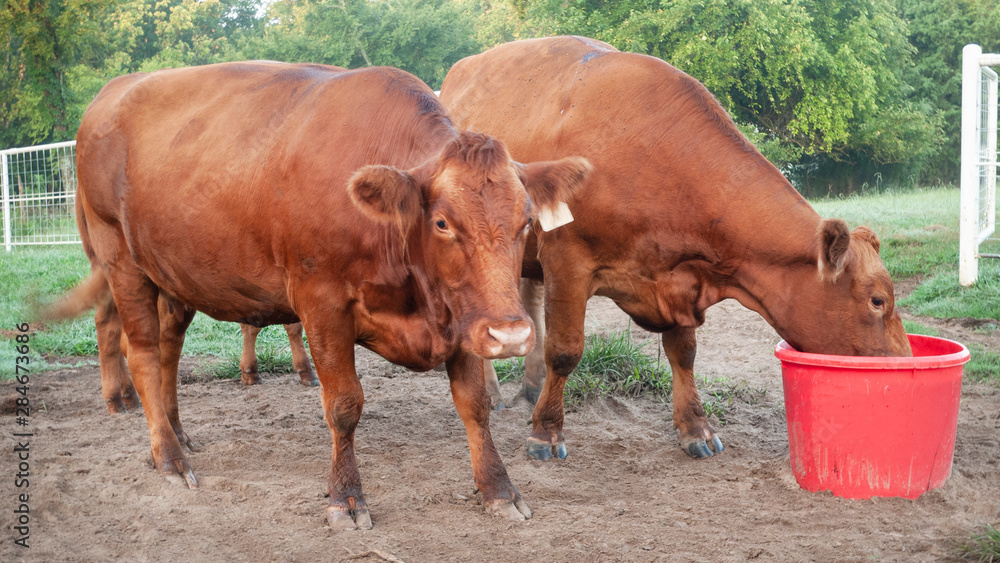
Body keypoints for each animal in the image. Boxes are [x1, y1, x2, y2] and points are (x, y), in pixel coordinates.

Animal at [57, 60, 591, 529]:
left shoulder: (460, 315)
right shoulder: (322, 304)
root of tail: (113, 92)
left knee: (169, 349)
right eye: (442, 223)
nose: (511, 334)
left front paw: (499, 489)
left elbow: (474, 405)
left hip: (172, 275)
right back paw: (168, 457)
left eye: (527, 221)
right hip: (120, 261)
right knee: (143, 353)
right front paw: (345, 498)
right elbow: (344, 407)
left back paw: (175, 435)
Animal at [439, 36, 911, 461]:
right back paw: (495, 392)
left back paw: (531, 385)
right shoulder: (567, 259)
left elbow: (684, 353)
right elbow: (566, 351)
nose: (905, 364)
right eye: (877, 301)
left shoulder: (679, 277)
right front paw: (546, 432)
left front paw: (696, 428)